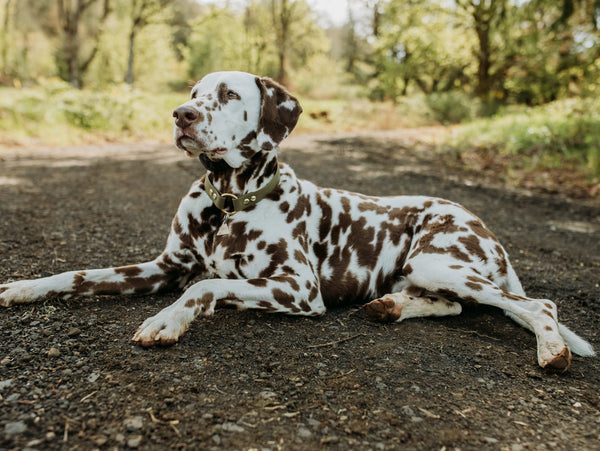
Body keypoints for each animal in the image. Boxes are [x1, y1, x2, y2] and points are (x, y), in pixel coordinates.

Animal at [0, 72, 592, 372]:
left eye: (229, 95)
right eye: (193, 94)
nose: (181, 115)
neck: (228, 203)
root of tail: (484, 225)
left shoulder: (298, 288)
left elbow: (206, 286)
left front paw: (167, 321)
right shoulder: (162, 266)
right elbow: (78, 275)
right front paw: (25, 287)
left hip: (439, 262)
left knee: (538, 304)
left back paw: (552, 350)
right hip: (429, 272)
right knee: (453, 305)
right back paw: (391, 306)